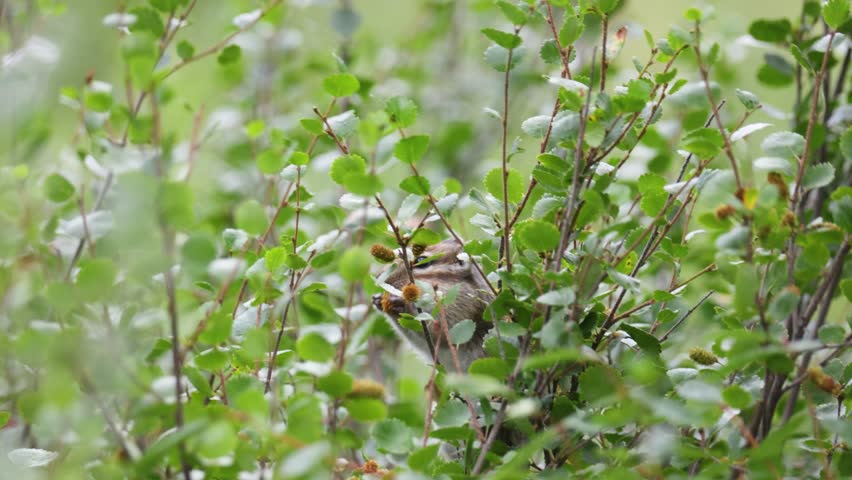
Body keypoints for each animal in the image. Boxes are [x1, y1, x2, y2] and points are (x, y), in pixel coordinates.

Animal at [371, 240, 494, 371]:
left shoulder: (463, 310)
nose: (378, 276)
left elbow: (438, 334)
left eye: (421, 260)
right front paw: (378, 299)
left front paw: (399, 303)